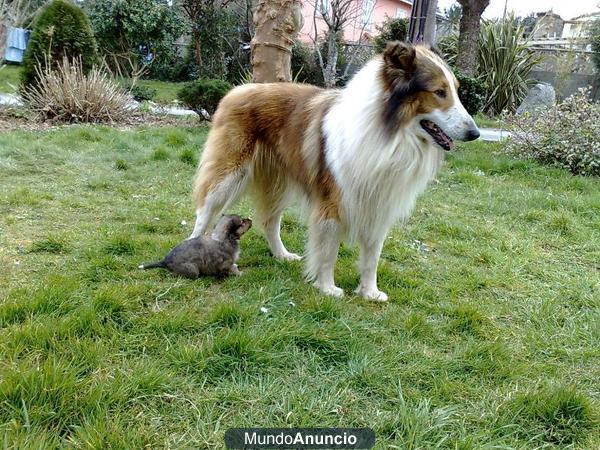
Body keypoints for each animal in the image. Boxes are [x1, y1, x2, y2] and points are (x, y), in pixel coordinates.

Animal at [190, 42, 480, 300]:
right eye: (439, 92)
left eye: (456, 90)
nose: (475, 133)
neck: (389, 135)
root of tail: (239, 88)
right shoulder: (332, 205)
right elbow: (328, 252)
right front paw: (328, 288)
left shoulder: (378, 204)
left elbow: (372, 256)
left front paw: (369, 292)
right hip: (227, 176)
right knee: (204, 213)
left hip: (278, 183)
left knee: (270, 221)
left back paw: (282, 255)